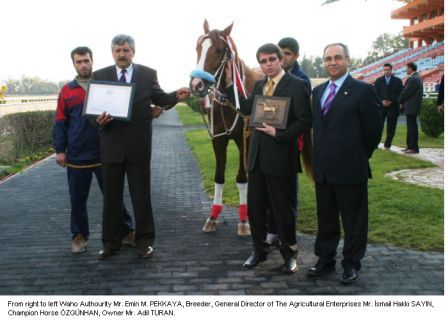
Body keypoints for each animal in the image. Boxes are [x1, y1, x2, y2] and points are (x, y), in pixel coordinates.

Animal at [188, 20, 262, 238]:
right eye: (198, 48)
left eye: (219, 50)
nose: (197, 84)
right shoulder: (218, 139)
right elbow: (219, 177)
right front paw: (212, 217)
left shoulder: (244, 140)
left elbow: (242, 179)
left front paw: (244, 220)